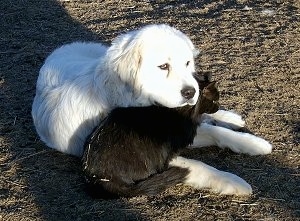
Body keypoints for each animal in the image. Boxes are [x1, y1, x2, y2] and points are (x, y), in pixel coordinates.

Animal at [32, 24, 272, 195]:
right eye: (163, 66)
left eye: (187, 63)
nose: (191, 92)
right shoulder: (157, 153)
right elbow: (198, 166)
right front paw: (233, 181)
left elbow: (217, 132)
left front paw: (254, 144)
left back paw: (230, 117)